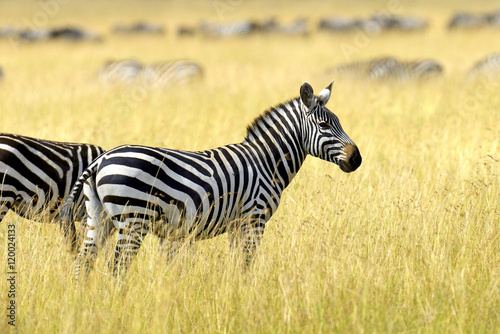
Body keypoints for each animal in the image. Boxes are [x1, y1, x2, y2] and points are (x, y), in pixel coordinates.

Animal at [60, 79, 362, 278]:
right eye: (324, 125)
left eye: (338, 122)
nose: (356, 159)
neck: (267, 162)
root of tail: (100, 160)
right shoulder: (254, 218)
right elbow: (246, 264)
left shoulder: (238, 223)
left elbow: (237, 263)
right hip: (133, 219)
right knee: (117, 269)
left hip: (99, 217)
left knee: (83, 264)